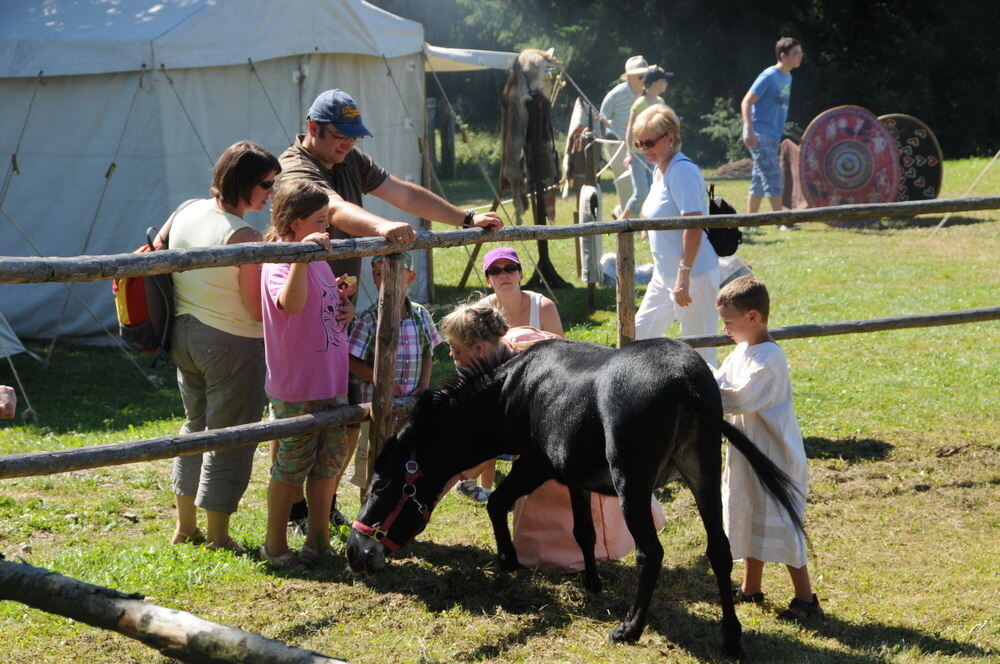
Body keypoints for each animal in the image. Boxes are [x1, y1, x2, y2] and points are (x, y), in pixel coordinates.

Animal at [348, 340, 800, 656]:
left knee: (651, 553)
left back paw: (630, 629)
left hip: (632, 484)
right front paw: (591, 582)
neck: (512, 391)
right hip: (703, 474)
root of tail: (686, 381)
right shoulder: (576, 479)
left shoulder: (535, 464)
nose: (355, 552)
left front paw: (508, 561)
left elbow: (497, 503)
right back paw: (731, 638)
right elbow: (584, 531)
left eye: (382, 486)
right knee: (720, 550)